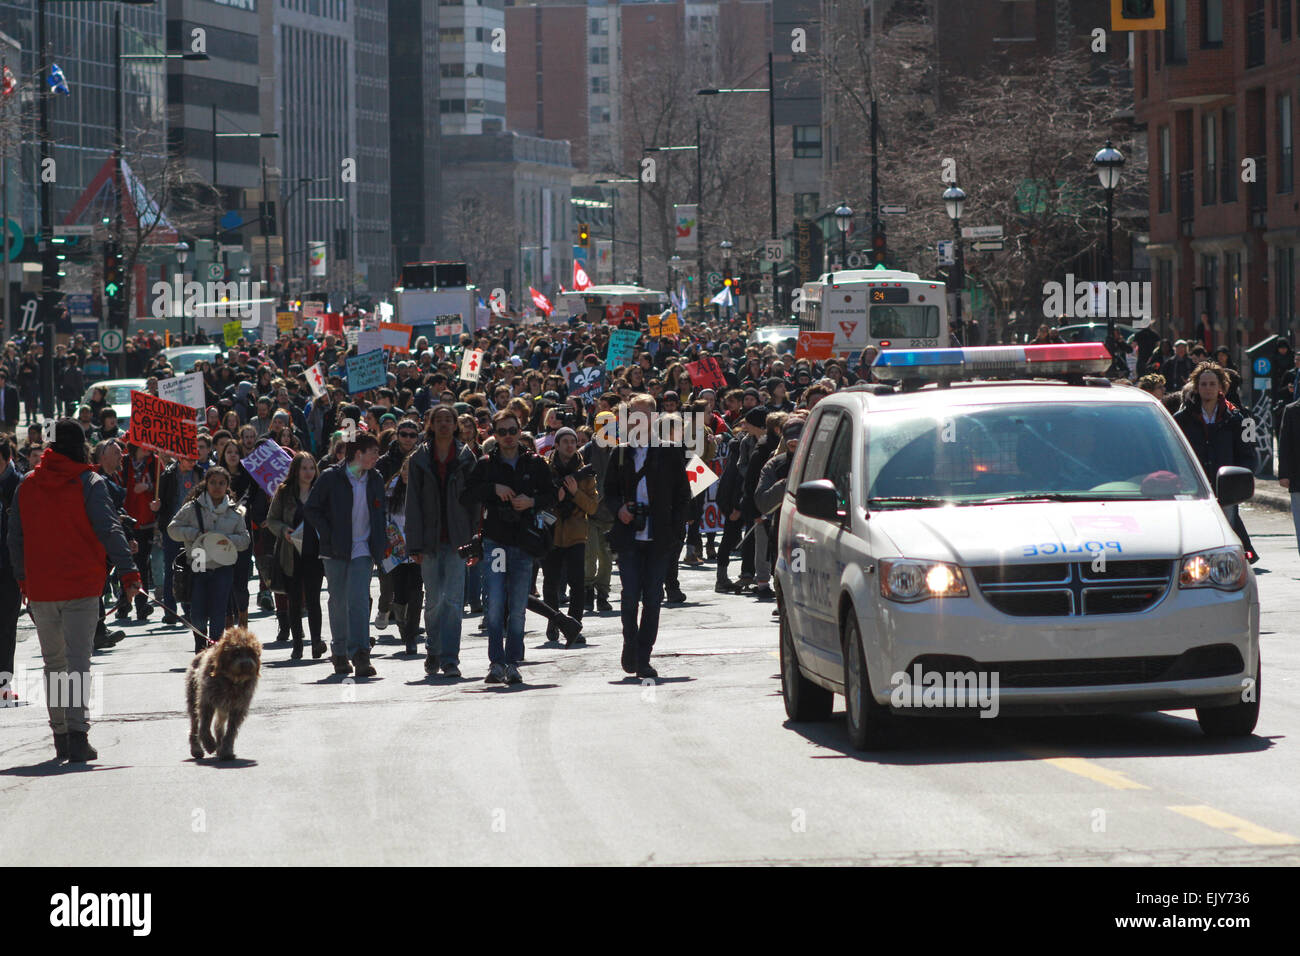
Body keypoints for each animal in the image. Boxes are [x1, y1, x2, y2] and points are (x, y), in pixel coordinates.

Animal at [185, 629, 261, 764]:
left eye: (251, 653)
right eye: (236, 652)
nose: (247, 665)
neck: (231, 680)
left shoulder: (237, 707)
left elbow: (231, 731)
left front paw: (226, 751)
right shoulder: (207, 702)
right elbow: (204, 726)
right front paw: (209, 744)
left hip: (223, 708)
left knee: (218, 725)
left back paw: (220, 746)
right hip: (193, 698)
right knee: (195, 725)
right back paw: (196, 749)